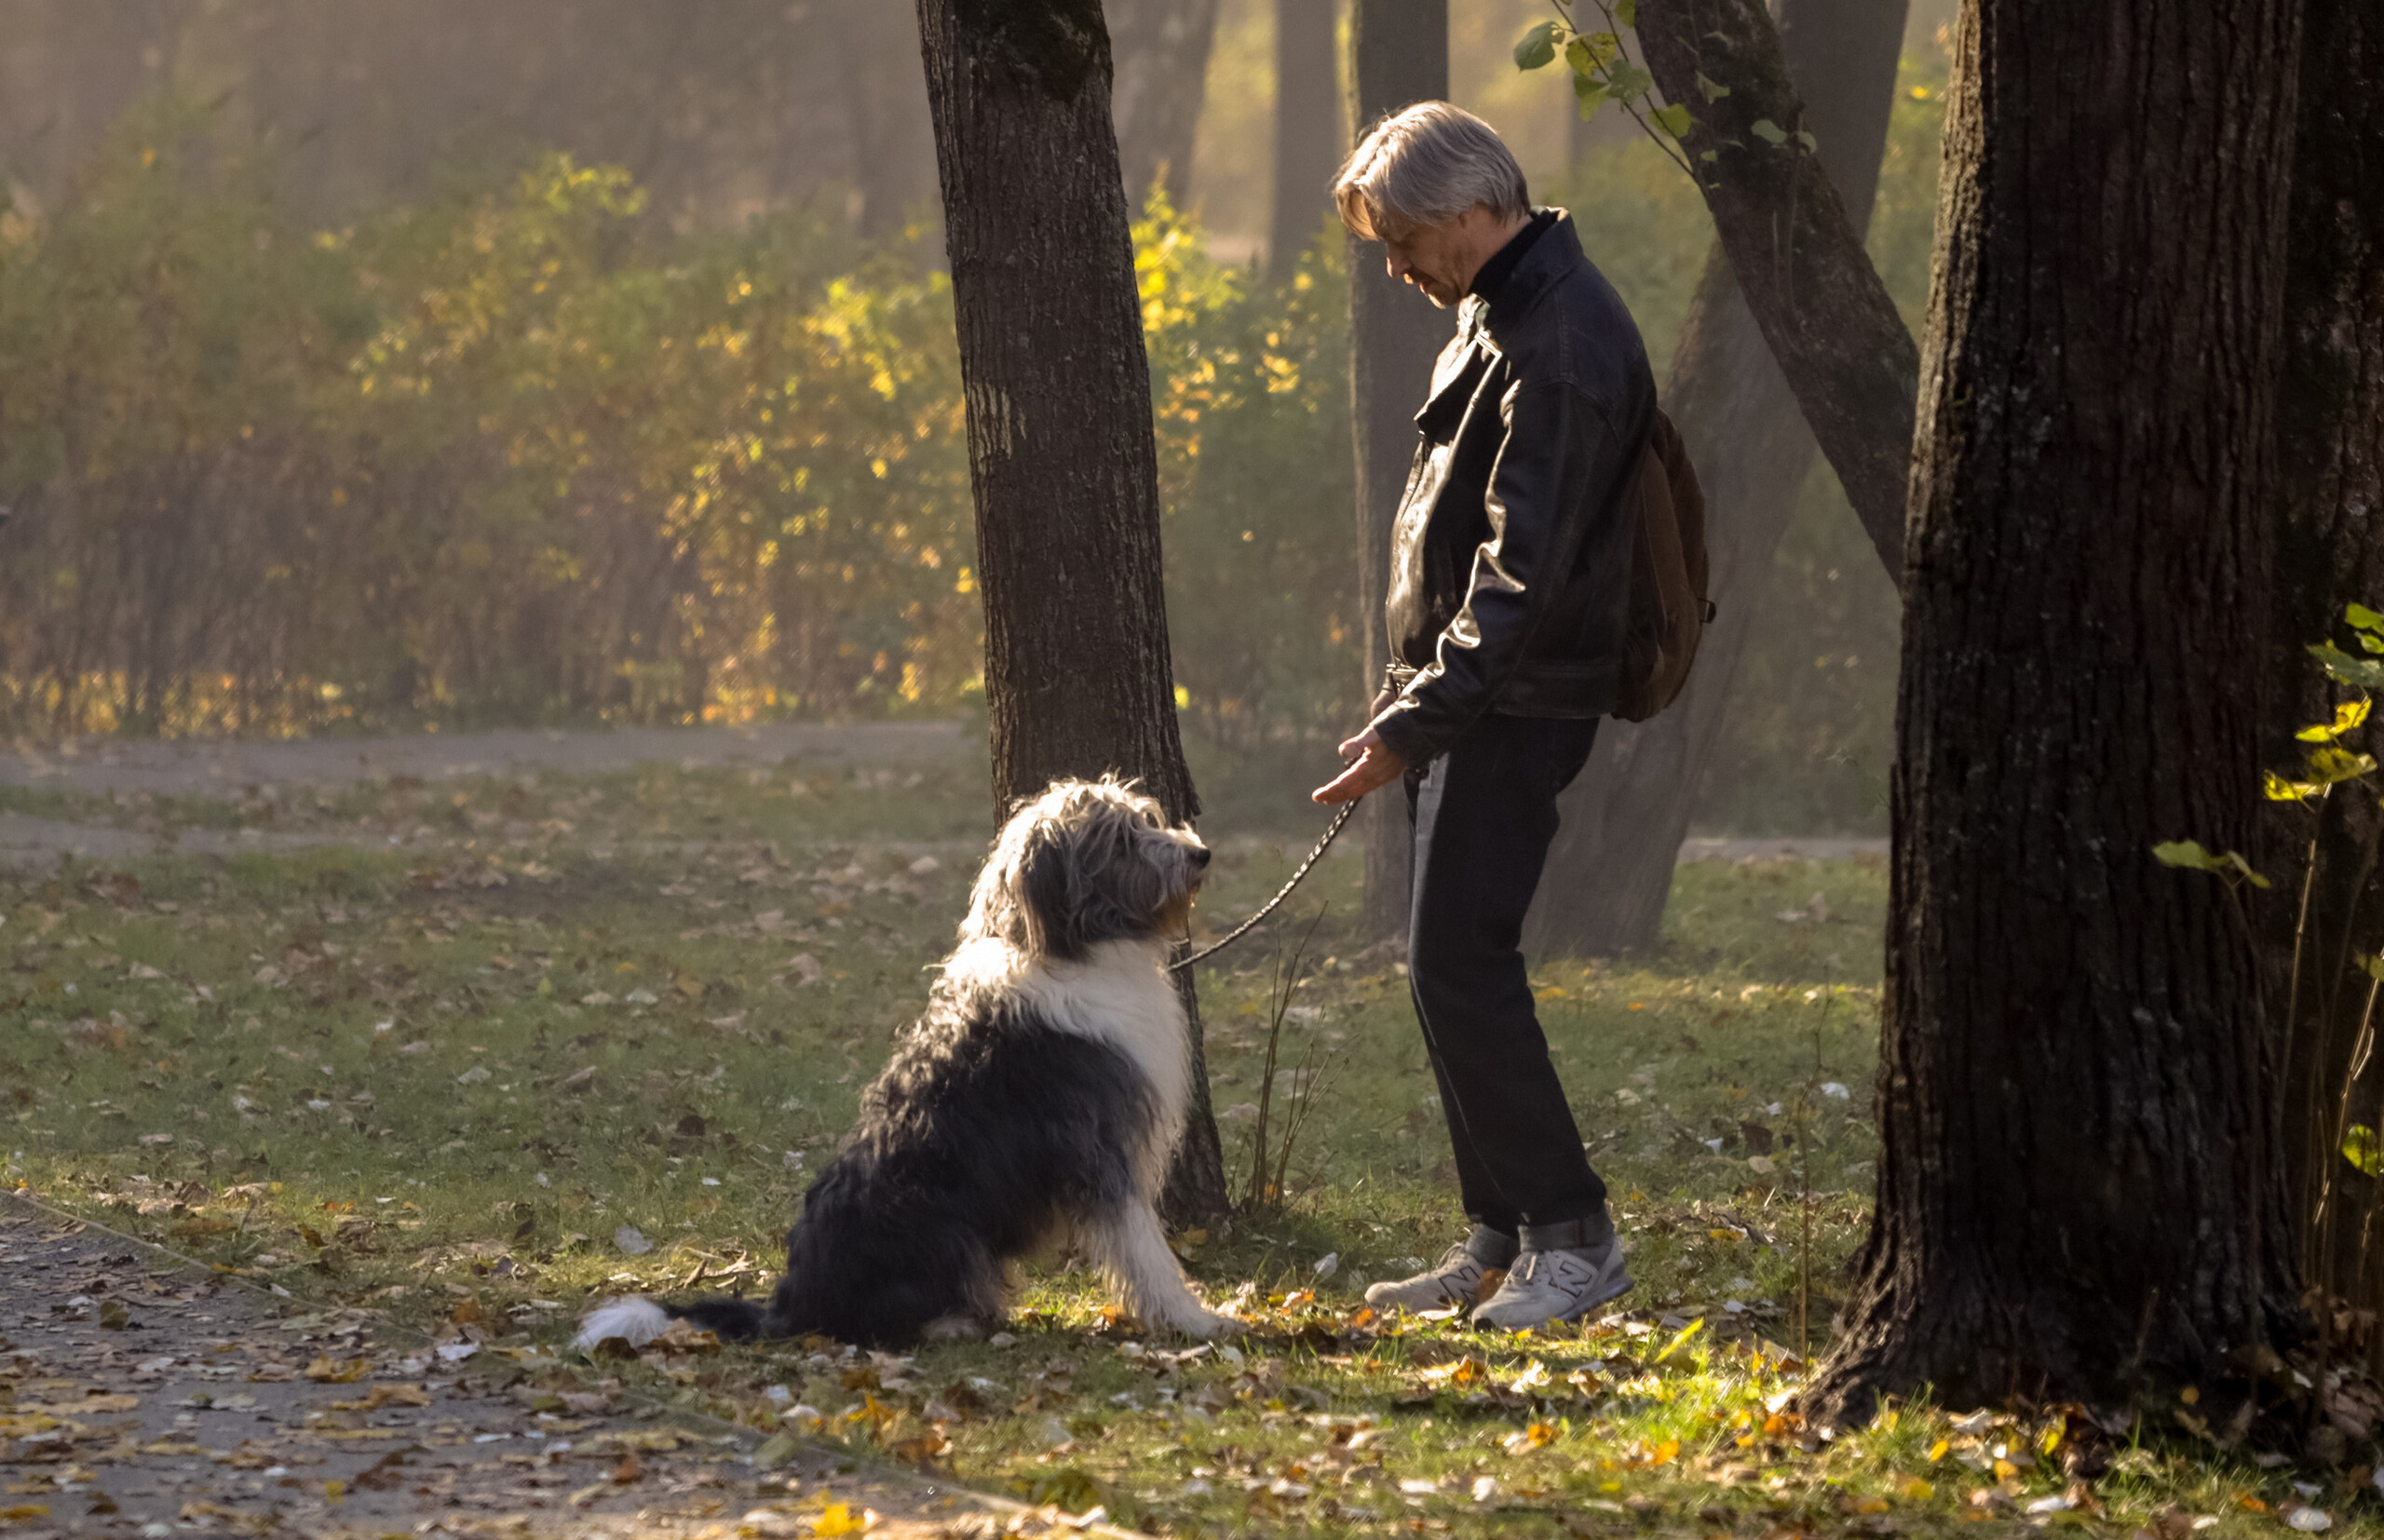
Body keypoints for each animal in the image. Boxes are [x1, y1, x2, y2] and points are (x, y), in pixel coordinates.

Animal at [574, 786, 1229, 1354]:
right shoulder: (1100, 1153)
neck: (1075, 948)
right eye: (1119, 839)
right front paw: (1198, 1321)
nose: (1200, 854)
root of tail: (791, 1305)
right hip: (946, 1230)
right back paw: (953, 1324)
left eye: (1145, 819)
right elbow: (1144, 1248)